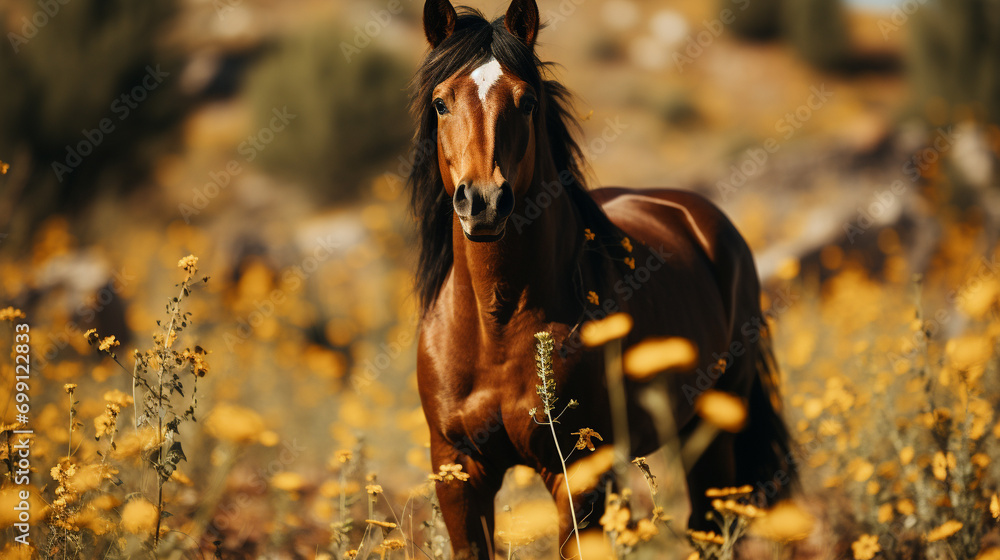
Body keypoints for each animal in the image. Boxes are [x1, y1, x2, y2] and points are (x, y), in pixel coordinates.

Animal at [410, 1, 792, 556]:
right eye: (441, 103)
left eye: (527, 102)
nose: (482, 202)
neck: (495, 323)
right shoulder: (459, 473)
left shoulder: (579, 473)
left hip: (715, 422)